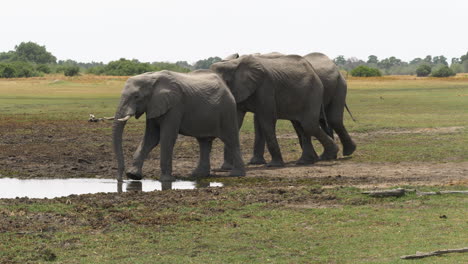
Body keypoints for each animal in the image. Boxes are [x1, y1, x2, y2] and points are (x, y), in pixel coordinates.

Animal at [112, 69, 247, 183]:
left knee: (231, 140)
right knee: (204, 142)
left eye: (136, 96)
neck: (151, 77)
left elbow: (167, 137)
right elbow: (151, 138)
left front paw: (166, 180)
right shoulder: (153, 106)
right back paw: (198, 175)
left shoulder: (174, 106)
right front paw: (133, 176)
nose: (120, 180)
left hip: (227, 111)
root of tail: (226, 87)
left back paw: (237, 174)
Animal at [221, 52, 356, 165]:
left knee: (331, 120)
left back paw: (344, 153)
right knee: (318, 122)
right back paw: (325, 157)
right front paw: (255, 163)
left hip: (338, 86)